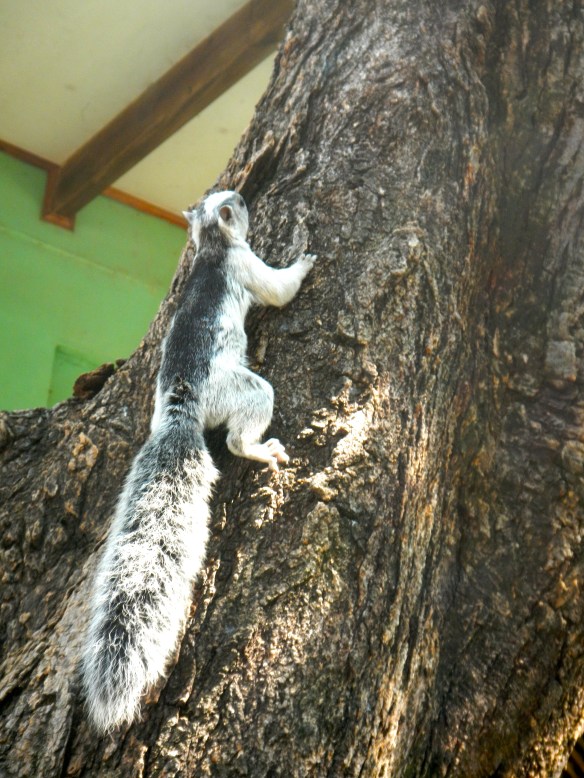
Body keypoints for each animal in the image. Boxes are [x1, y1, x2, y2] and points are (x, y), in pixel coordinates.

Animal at [81, 191, 315, 732]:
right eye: (239, 203)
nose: (246, 197)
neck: (210, 246)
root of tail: (178, 411)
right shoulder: (246, 265)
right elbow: (279, 289)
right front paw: (304, 257)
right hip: (243, 389)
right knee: (238, 437)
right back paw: (261, 449)